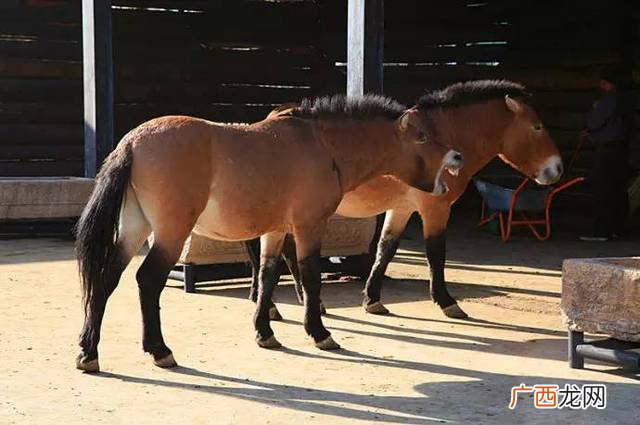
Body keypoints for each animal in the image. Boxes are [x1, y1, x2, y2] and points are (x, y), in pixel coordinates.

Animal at [74, 94, 464, 372]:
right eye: (422, 136)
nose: (457, 156)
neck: (323, 145)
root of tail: (132, 143)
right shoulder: (309, 226)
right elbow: (310, 276)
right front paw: (320, 333)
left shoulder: (276, 231)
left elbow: (267, 275)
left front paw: (265, 332)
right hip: (170, 234)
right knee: (147, 280)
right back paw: (159, 350)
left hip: (134, 229)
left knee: (107, 278)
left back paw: (88, 352)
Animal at [247, 80, 563, 320]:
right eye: (537, 127)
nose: (557, 168)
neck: (445, 133)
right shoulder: (435, 209)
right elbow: (436, 254)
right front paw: (447, 302)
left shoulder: (401, 209)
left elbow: (385, 250)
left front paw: (372, 299)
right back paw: (275, 306)